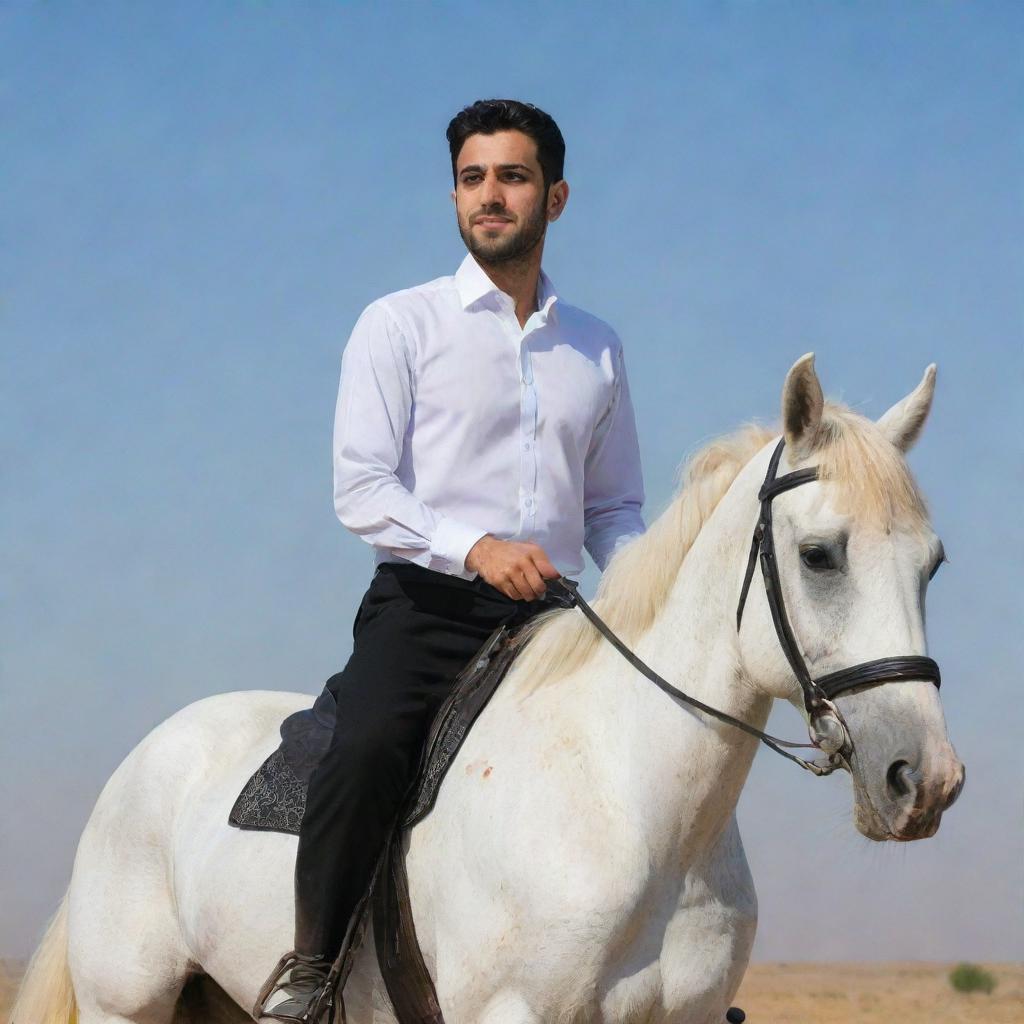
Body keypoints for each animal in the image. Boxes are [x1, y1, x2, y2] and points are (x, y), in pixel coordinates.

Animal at [12, 358, 962, 1024]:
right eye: (819, 555)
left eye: (932, 564)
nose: (924, 781)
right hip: (125, 1004)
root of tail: (146, 757)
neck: (628, 803)